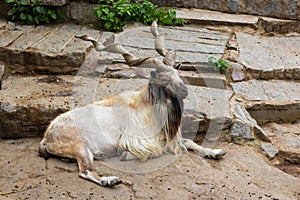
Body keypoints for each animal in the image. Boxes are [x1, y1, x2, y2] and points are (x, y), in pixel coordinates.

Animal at [38, 22, 225, 188]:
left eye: (177, 73)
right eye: (164, 78)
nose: (184, 91)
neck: (149, 108)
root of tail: (48, 137)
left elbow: (189, 142)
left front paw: (215, 152)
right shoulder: (137, 141)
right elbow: (155, 150)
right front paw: (125, 156)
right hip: (78, 146)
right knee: (85, 171)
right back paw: (110, 180)